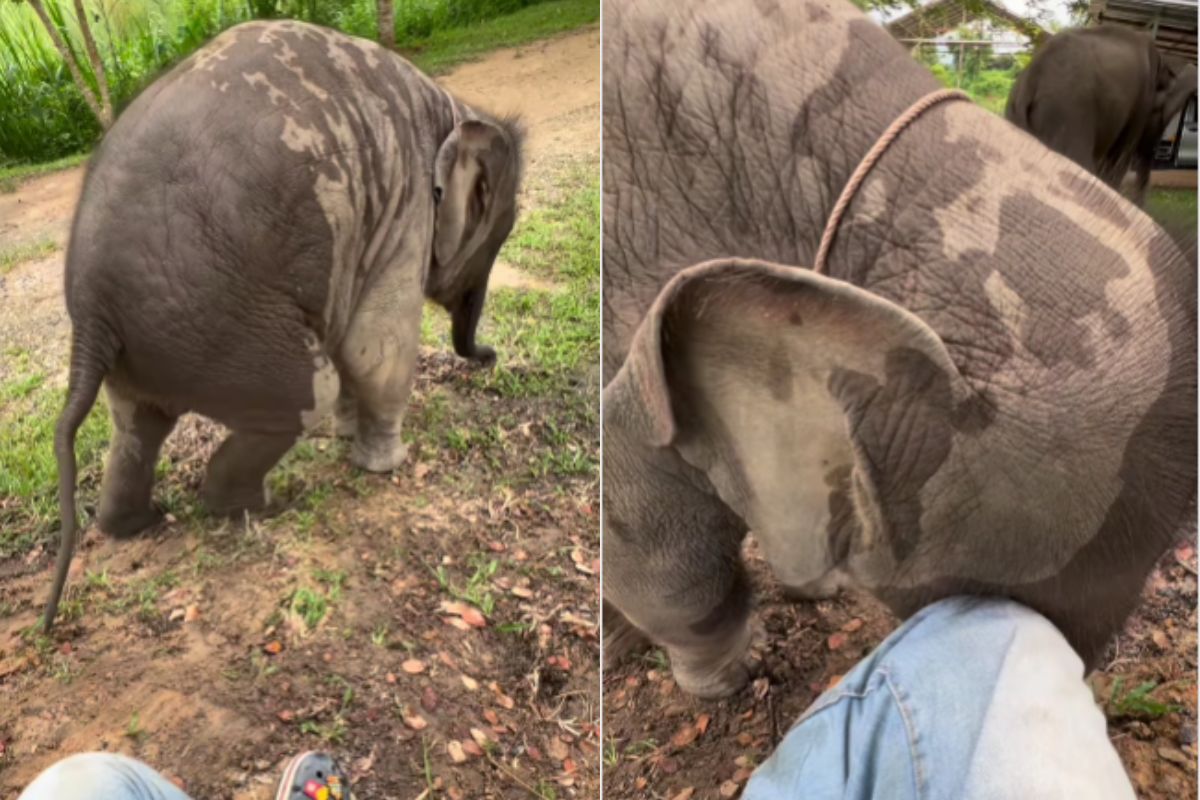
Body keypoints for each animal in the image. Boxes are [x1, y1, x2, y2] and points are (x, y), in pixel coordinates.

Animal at [45, 20, 523, 628]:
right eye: (501, 232)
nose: (491, 356)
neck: (451, 104)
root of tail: (91, 319)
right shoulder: (408, 203)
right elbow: (374, 350)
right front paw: (387, 466)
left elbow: (353, 339)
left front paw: (347, 437)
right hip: (219, 329)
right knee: (309, 391)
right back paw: (258, 506)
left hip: (155, 342)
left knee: (135, 425)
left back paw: (137, 524)